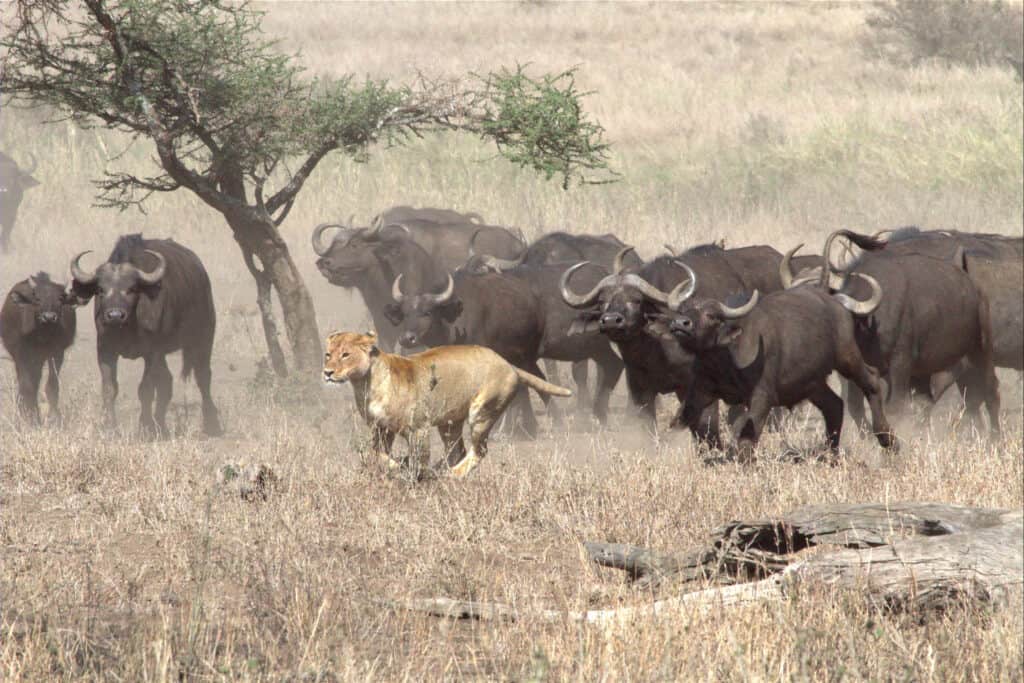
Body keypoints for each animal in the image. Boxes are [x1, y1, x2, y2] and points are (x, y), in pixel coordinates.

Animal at [0, 272, 75, 421]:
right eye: (38, 299)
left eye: (60, 299)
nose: (49, 317)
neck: (43, 336)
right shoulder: (22, 354)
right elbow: (27, 385)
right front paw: (31, 417)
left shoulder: (57, 353)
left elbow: (52, 385)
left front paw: (54, 418)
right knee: (29, 383)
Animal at [70, 235, 222, 438]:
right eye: (101, 290)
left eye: (132, 289)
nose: (115, 315)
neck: (128, 327)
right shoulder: (105, 350)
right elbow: (110, 388)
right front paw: (109, 426)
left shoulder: (152, 353)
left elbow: (146, 389)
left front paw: (145, 426)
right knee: (167, 381)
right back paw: (162, 425)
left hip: (203, 339)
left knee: (203, 377)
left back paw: (212, 424)